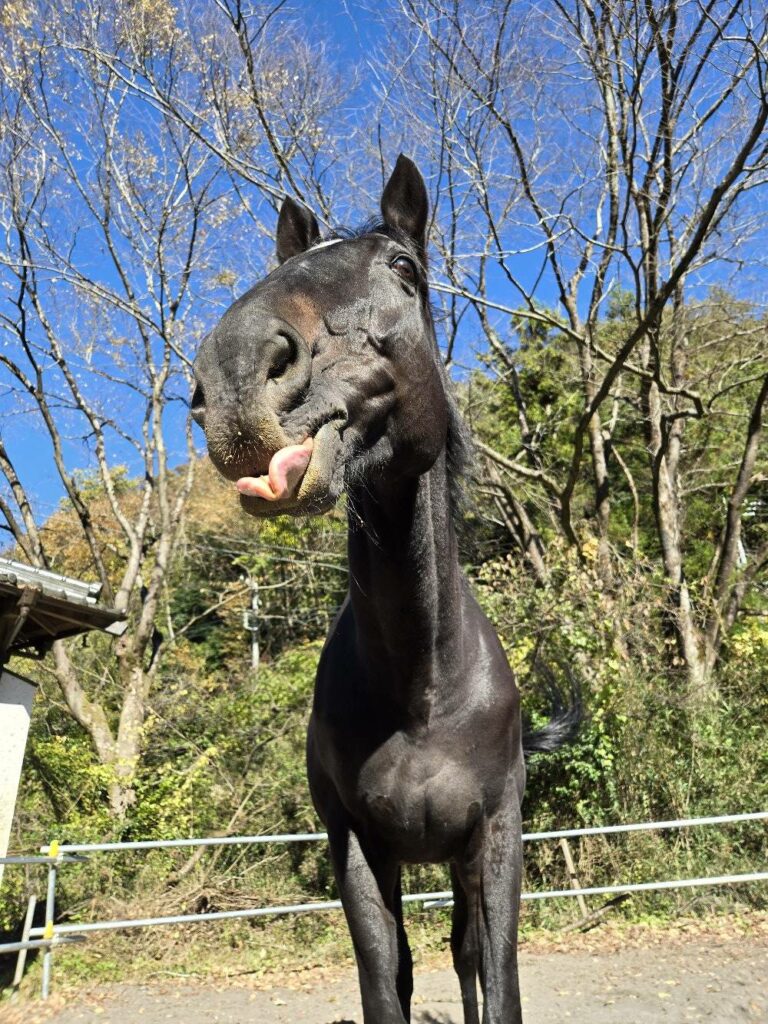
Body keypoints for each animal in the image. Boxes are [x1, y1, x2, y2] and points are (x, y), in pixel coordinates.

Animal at [191, 155, 578, 1024]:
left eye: (404, 268)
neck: (423, 690)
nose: (234, 373)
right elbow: (386, 977)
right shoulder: (359, 849)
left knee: (465, 955)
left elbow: (495, 976)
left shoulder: (495, 842)